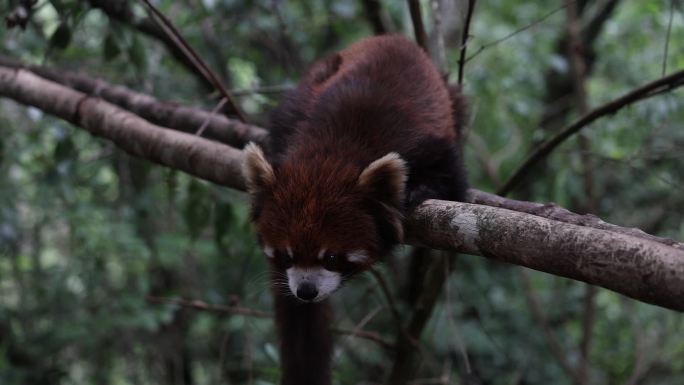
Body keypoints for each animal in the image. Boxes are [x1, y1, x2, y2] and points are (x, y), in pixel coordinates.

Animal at [243, 34, 468, 382]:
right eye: (286, 256)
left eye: (332, 258)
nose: (305, 291)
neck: (335, 152)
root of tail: (393, 38)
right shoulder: (300, 123)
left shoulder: (426, 144)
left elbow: (450, 176)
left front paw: (420, 189)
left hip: (450, 97)